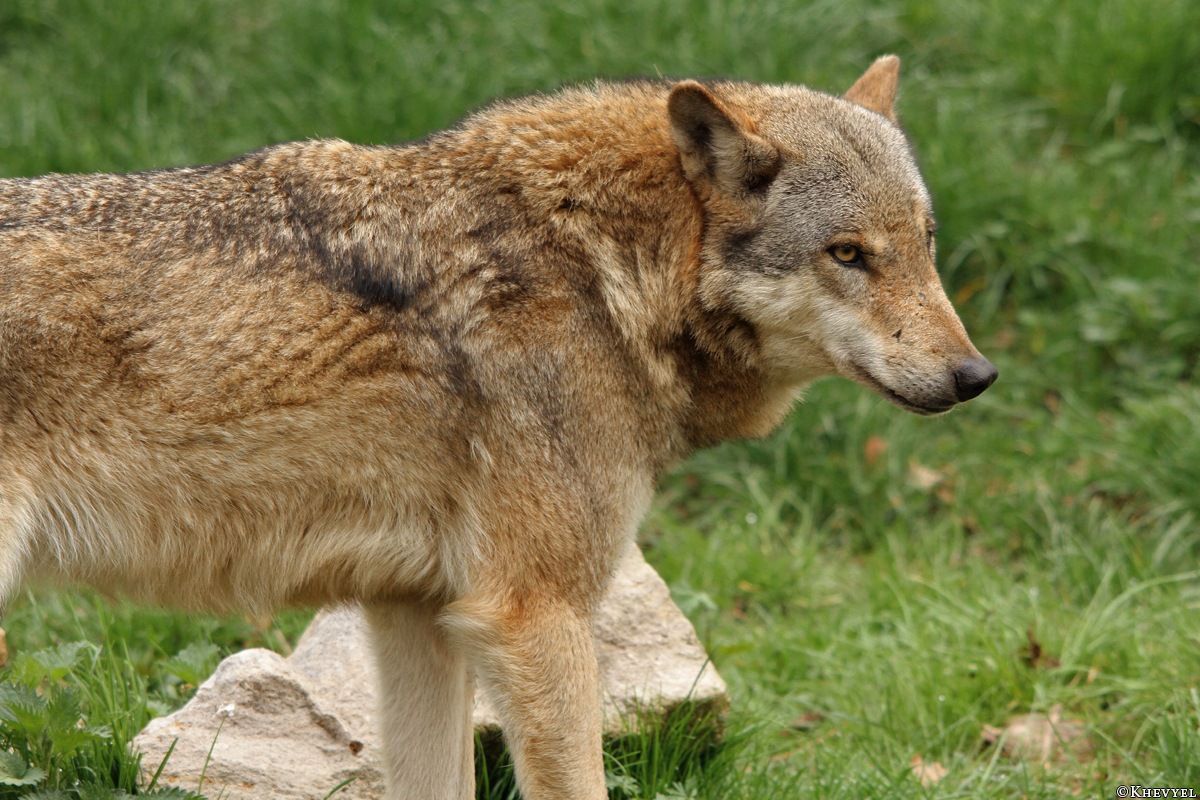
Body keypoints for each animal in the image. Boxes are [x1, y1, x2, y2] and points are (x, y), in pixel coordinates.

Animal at [0, 56, 994, 798]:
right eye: (848, 254)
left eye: (925, 244)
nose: (975, 376)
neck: (599, 273)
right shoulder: (532, 615)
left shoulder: (417, 614)